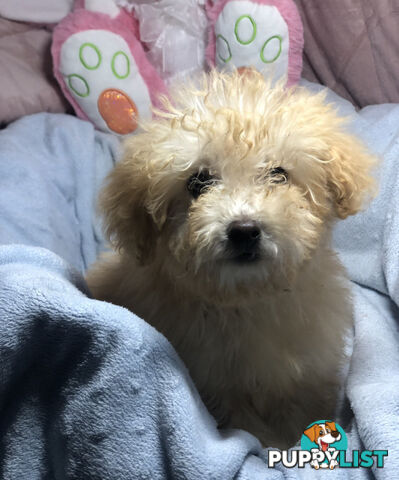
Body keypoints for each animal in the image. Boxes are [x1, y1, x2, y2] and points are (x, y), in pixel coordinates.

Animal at [86, 71, 376, 450]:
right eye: (197, 182)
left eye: (279, 174)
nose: (244, 230)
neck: (247, 301)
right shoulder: (220, 391)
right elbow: (250, 430)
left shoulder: (305, 375)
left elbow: (300, 411)